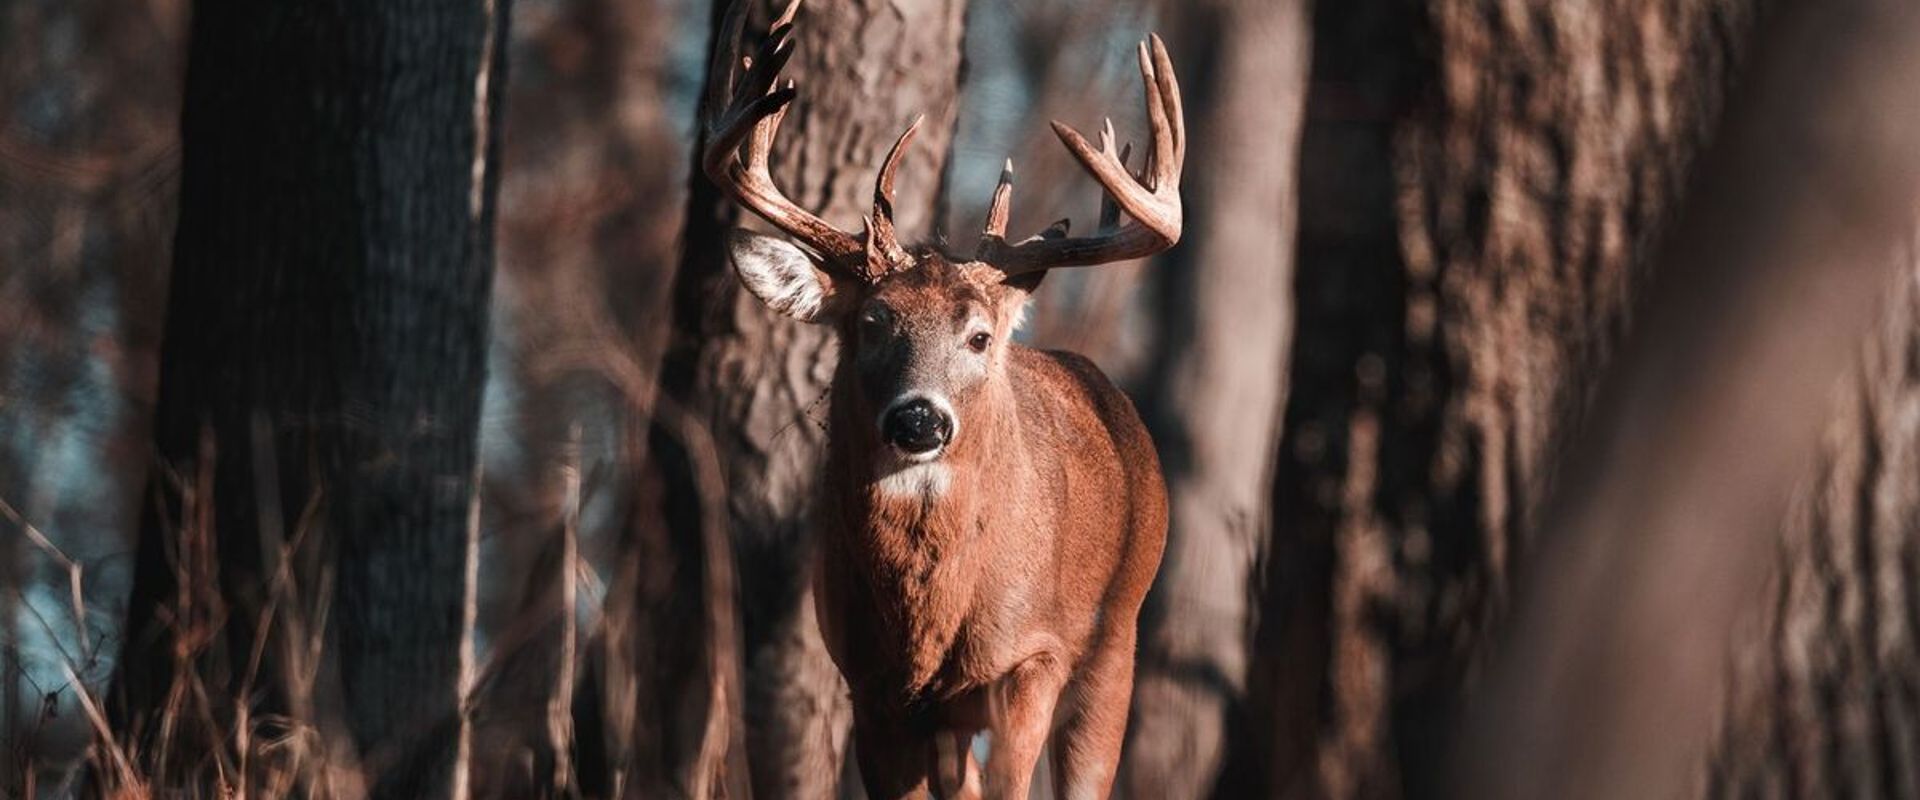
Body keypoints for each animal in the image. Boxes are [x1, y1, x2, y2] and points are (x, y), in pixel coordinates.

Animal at [701, 2, 1182, 797]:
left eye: (979, 336)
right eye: (870, 323)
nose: (919, 418)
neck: (930, 623)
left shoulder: (1032, 657)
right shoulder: (871, 691)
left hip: (1117, 639)